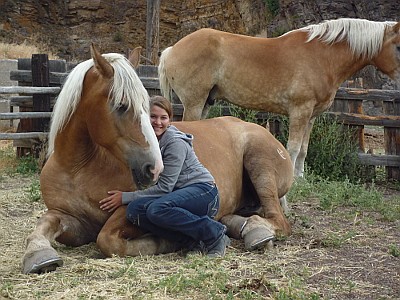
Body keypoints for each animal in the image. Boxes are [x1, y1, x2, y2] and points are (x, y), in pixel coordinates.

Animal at [21, 45, 292, 274]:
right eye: (121, 105)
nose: (155, 168)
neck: (78, 167)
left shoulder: (127, 209)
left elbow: (108, 239)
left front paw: (165, 240)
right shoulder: (70, 219)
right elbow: (44, 225)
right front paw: (38, 253)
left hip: (260, 165)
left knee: (277, 219)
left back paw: (255, 230)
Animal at [157, 18, 400, 178]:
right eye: (398, 46)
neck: (321, 56)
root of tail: (171, 49)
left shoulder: (311, 116)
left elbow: (303, 149)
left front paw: (300, 178)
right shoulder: (300, 111)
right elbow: (292, 147)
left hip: (205, 102)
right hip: (194, 102)